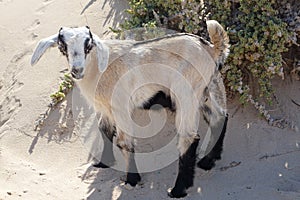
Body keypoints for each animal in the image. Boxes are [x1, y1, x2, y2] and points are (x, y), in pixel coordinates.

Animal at [31, 19, 230, 198]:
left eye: (88, 44)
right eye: (62, 45)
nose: (77, 70)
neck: (98, 68)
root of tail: (212, 49)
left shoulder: (121, 107)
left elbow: (124, 142)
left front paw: (132, 180)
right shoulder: (105, 108)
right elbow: (104, 130)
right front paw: (103, 163)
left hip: (186, 94)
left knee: (189, 138)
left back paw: (178, 190)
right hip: (207, 88)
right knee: (219, 117)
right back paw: (208, 161)